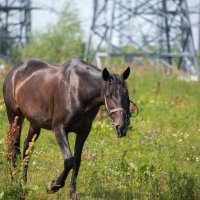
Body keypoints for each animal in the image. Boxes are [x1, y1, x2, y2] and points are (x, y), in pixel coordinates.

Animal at [3, 57, 133, 198]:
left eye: (126, 95)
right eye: (108, 95)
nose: (121, 127)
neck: (77, 91)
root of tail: (13, 72)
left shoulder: (83, 132)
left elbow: (77, 161)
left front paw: (72, 193)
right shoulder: (59, 129)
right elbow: (69, 161)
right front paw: (53, 186)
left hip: (34, 123)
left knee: (27, 150)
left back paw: (23, 186)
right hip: (15, 118)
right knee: (13, 149)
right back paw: (14, 184)